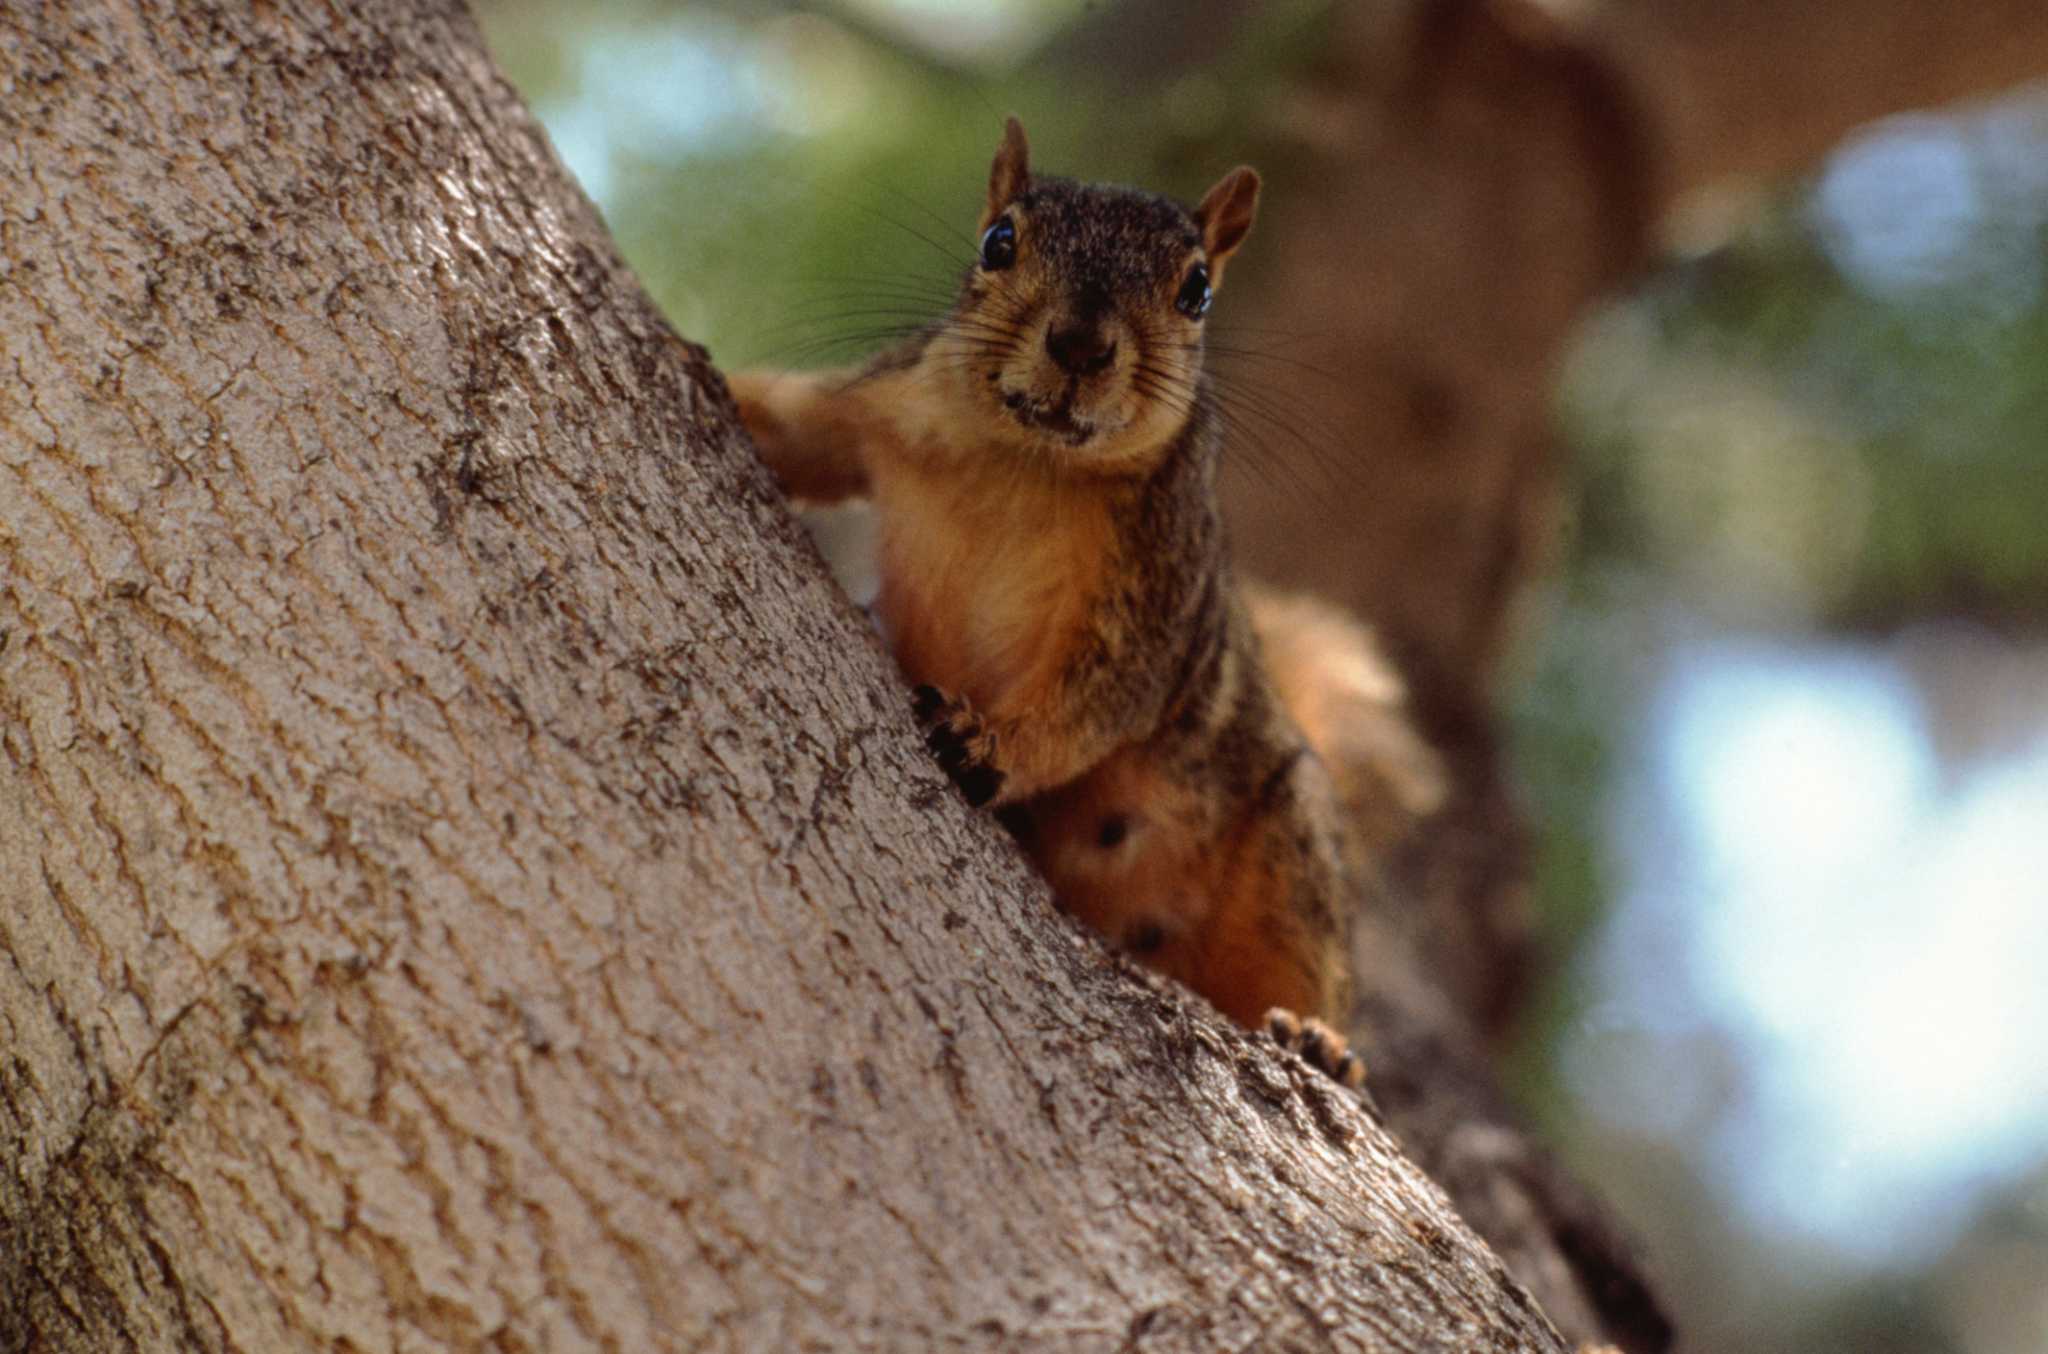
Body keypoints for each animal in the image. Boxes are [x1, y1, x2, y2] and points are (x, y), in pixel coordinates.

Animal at [730, 118, 1391, 1087]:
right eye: (998, 241)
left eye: (1197, 289)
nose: (1081, 344)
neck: (1025, 465)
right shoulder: (881, 408)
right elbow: (795, 429)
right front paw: (699, 366)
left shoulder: (1155, 588)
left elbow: (1097, 700)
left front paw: (990, 743)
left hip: (1292, 847)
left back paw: (1319, 1039)